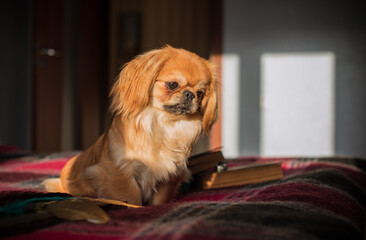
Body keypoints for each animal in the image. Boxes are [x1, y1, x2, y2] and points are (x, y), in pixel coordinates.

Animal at [42, 45, 217, 206]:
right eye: (173, 84)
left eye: (200, 94)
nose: (190, 94)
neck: (164, 125)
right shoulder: (118, 170)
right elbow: (132, 197)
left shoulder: (171, 175)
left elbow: (160, 199)